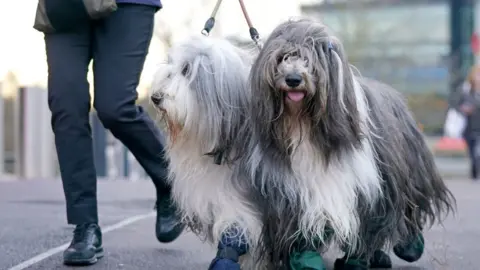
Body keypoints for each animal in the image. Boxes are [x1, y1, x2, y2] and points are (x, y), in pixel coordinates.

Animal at [244, 18, 458, 268]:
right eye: (282, 58)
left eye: (310, 59)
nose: (293, 79)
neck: (305, 126)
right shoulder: (295, 191)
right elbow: (300, 228)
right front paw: (305, 260)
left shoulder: (366, 188)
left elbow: (366, 227)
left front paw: (354, 261)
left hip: (409, 173)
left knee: (409, 209)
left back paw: (409, 247)